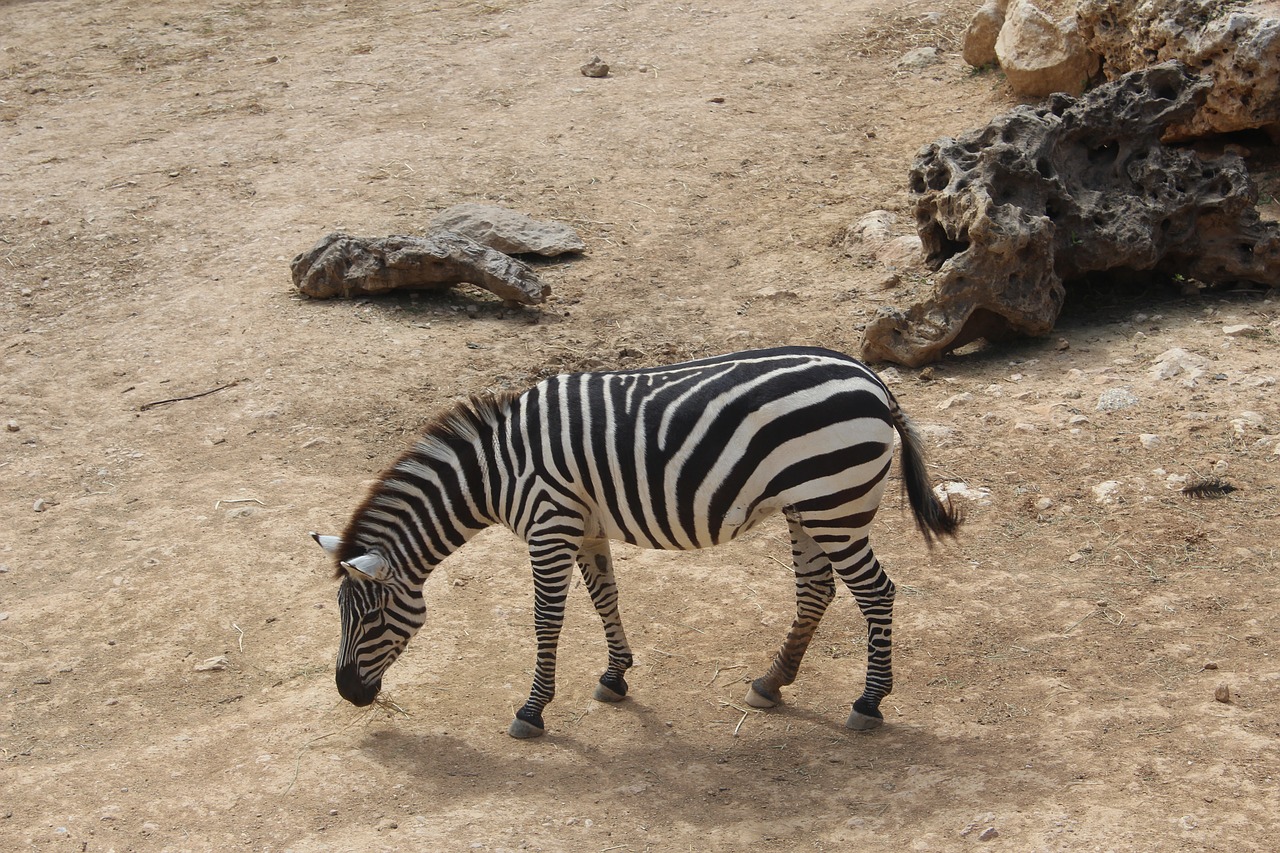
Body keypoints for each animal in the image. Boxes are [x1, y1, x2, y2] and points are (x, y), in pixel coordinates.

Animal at [312, 343, 962, 732]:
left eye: (369, 619)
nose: (347, 693)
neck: (498, 470)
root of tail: (873, 380)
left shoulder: (549, 525)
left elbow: (547, 619)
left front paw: (533, 709)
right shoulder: (583, 526)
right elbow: (606, 596)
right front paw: (615, 676)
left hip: (835, 503)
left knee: (877, 593)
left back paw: (868, 703)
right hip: (808, 508)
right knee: (816, 589)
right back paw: (772, 681)